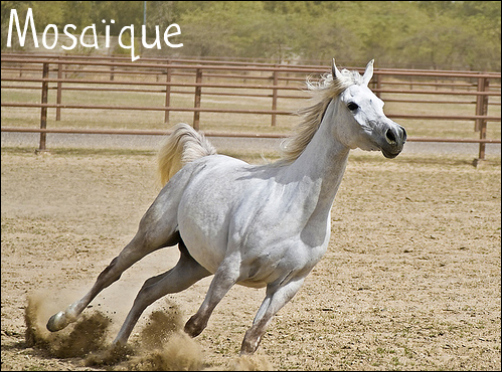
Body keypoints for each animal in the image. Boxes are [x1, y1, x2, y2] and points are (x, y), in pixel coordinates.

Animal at [47, 59, 406, 356]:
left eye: (380, 103)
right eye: (352, 104)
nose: (396, 135)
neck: (297, 209)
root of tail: (202, 159)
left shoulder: (287, 285)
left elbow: (251, 338)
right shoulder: (230, 268)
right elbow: (195, 324)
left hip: (193, 264)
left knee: (148, 289)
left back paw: (115, 349)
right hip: (153, 235)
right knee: (112, 272)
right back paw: (60, 320)